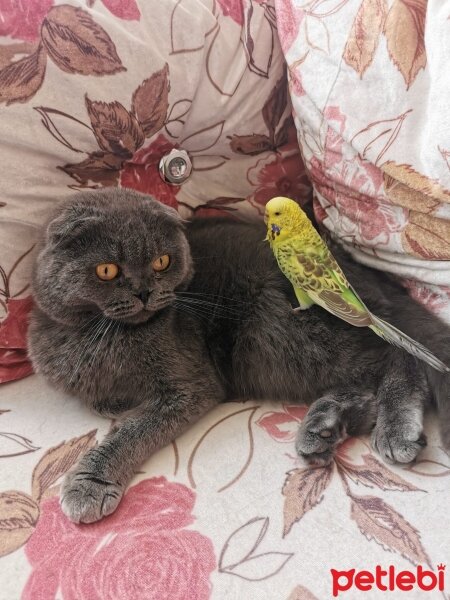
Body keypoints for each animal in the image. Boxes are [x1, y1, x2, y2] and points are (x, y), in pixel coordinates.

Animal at [29, 188, 450, 520]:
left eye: (162, 262)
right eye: (107, 270)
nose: (144, 292)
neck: (103, 333)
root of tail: (369, 279)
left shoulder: (191, 386)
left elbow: (133, 431)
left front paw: (90, 482)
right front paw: (111, 406)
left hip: (279, 327)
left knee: (400, 354)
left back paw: (395, 426)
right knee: (365, 384)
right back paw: (323, 429)